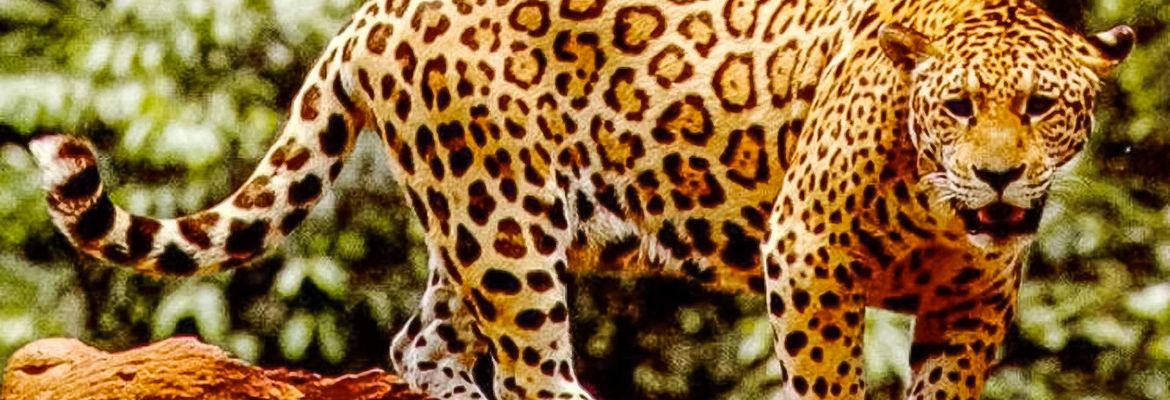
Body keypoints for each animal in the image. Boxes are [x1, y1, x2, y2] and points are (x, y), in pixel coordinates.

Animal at [29, 0, 1134, 398]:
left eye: (1040, 108)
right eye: (956, 107)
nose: (998, 174)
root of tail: (376, 13)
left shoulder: (975, 299)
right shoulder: (807, 255)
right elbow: (828, 382)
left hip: (473, 226)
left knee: (421, 341)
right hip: (504, 227)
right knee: (528, 368)